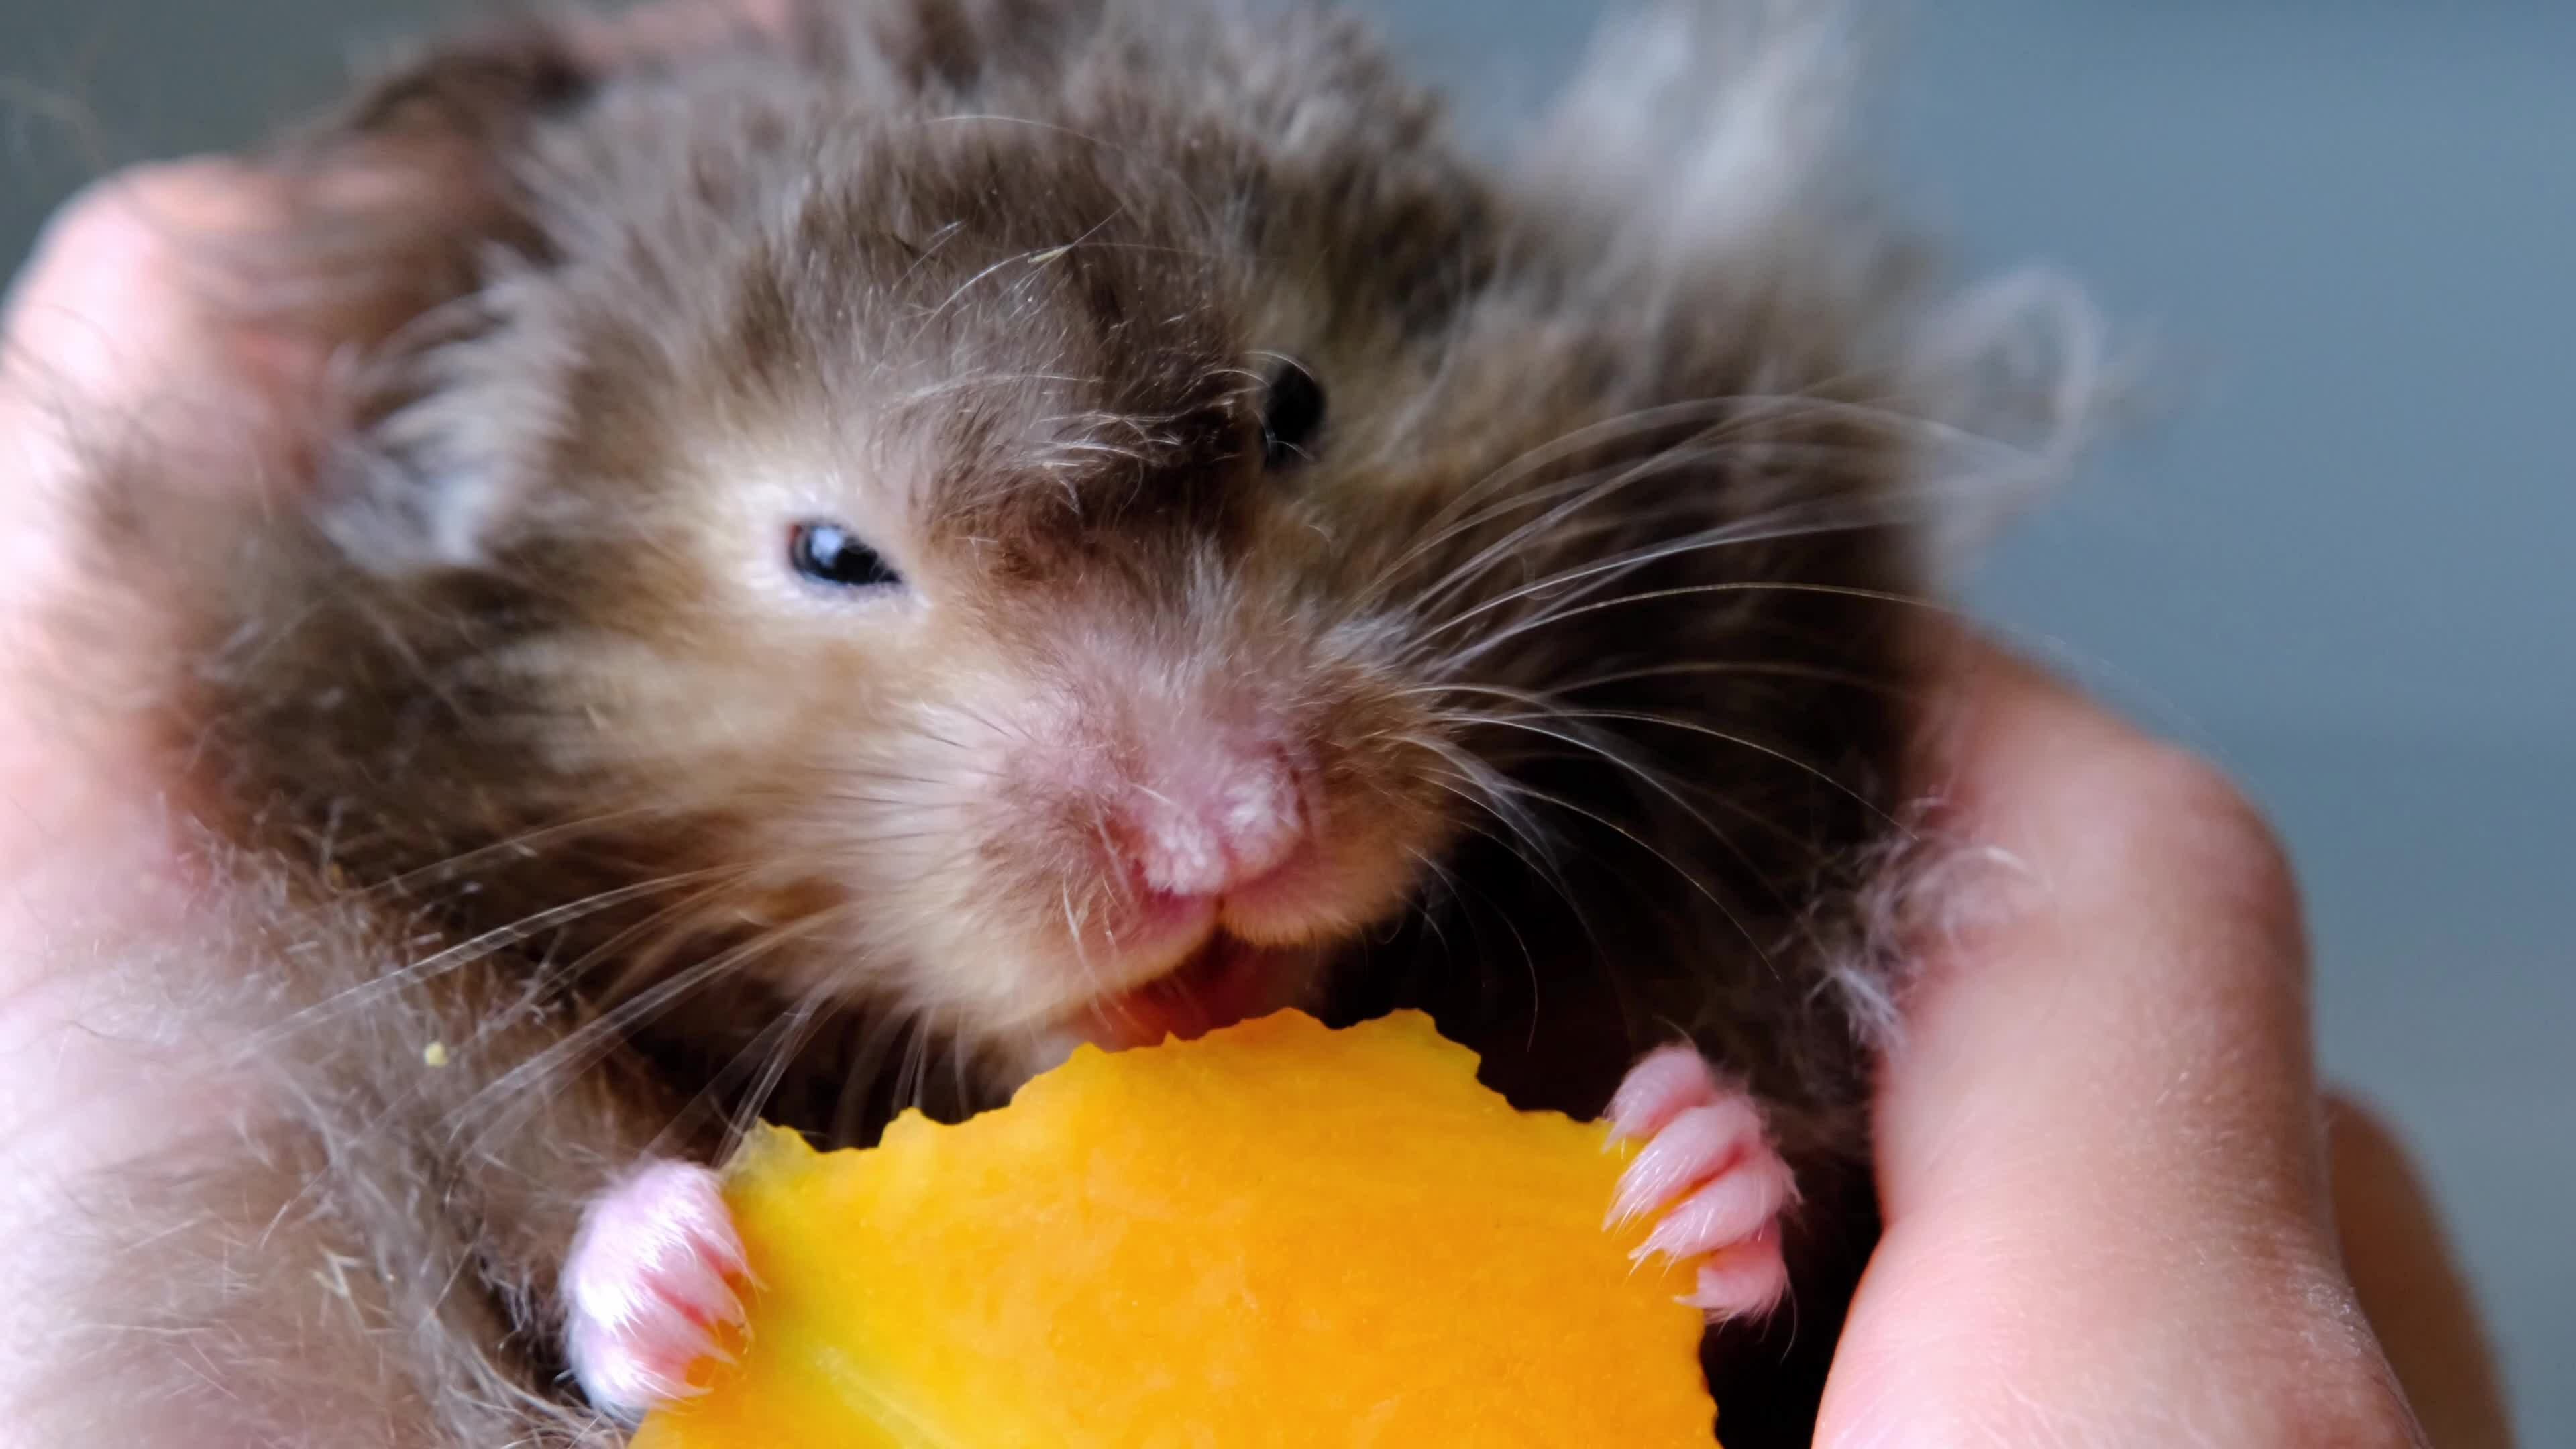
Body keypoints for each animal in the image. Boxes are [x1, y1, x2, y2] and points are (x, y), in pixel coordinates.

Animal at [20, 3, 2092, 1444]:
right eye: (833, 553)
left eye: (1295, 405)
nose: (1230, 839)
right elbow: (503, 1135)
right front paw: (682, 1274)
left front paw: (1682, 1165)